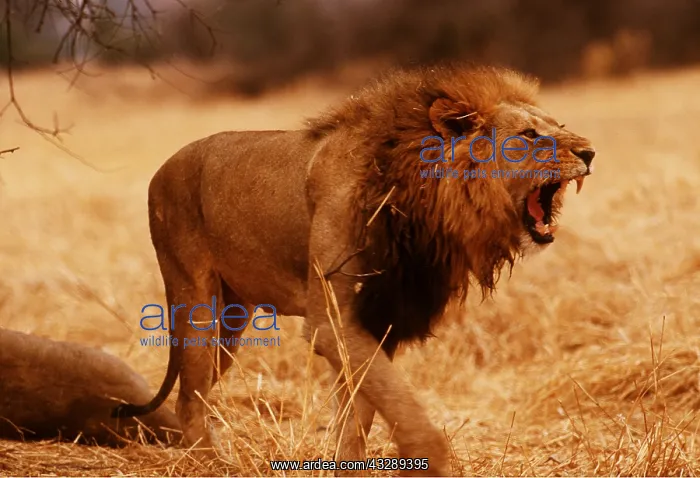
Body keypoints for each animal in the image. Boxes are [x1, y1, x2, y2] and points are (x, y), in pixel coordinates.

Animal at [113, 64, 595, 476]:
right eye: (529, 134)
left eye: (557, 125)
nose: (589, 153)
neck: (421, 198)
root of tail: (163, 166)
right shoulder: (333, 322)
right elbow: (398, 403)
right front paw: (433, 459)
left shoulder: (380, 319)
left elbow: (358, 413)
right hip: (194, 300)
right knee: (189, 396)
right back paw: (213, 464)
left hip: (231, 321)